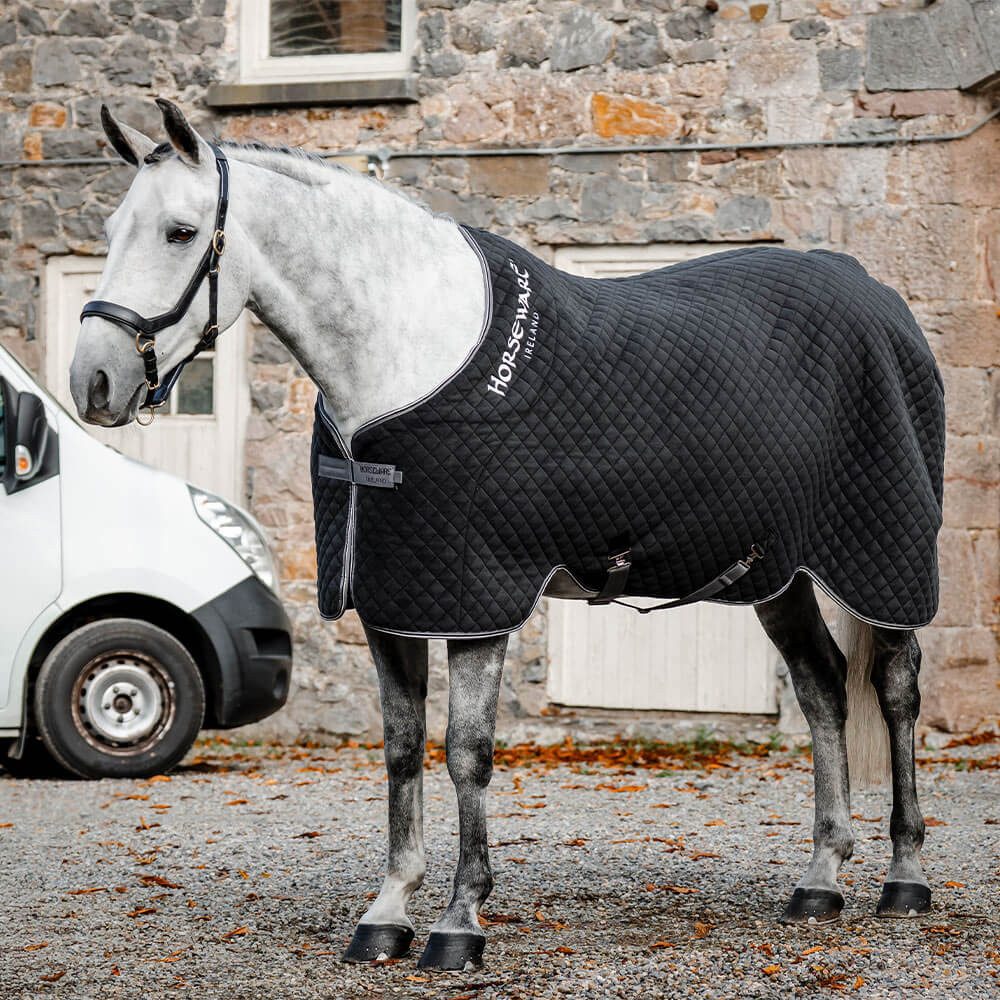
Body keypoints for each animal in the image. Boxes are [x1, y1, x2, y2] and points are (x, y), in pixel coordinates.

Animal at [69, 100, 944, 971]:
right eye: (111, 228)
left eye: (181, 232)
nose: (94, 381)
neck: (408, 354)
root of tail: (881, 301)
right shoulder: (391, 599)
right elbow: (400, 749)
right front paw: (387, 913)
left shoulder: (475, 599)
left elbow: (466, 752)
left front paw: (460, 920)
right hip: (779, 573)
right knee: (822, 688)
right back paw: (820, 878)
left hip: (884, 557)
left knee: (895, 689)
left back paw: (904, 876)